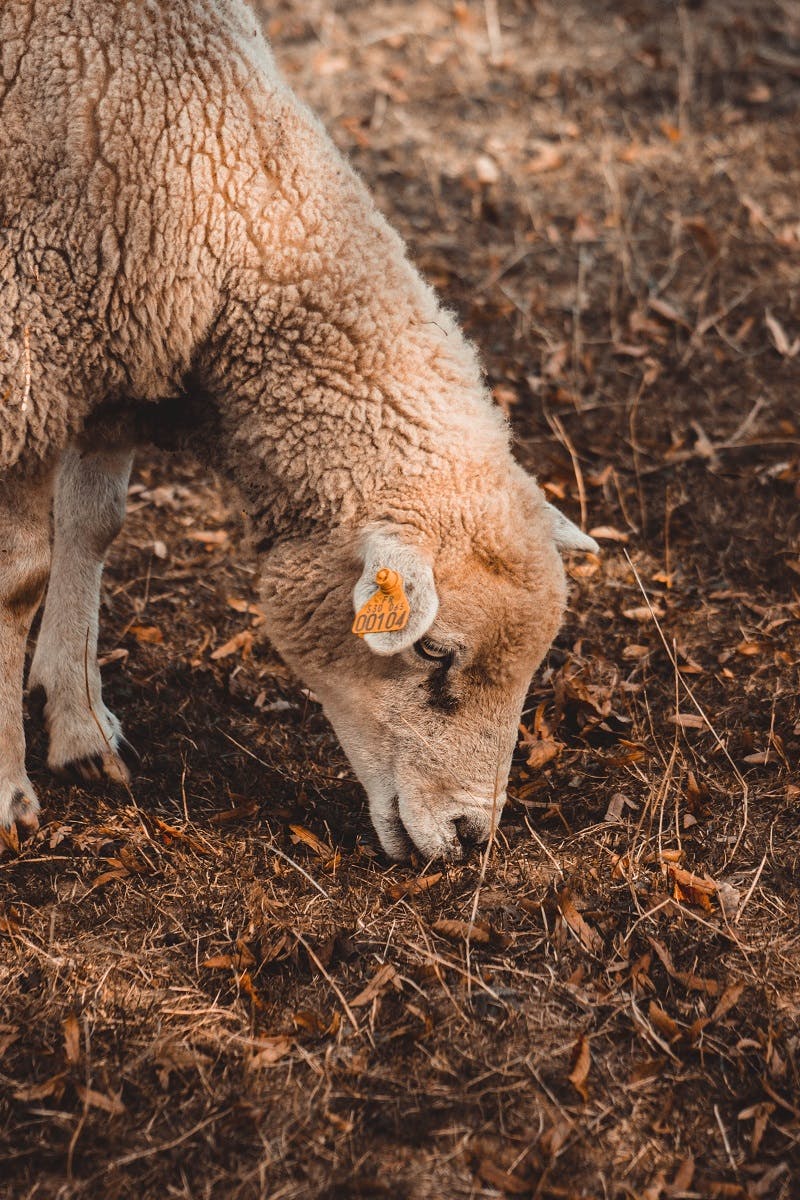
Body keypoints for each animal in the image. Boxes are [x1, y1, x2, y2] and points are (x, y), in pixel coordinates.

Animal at [0, 0, 594, 864]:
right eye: (431, 650)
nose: (470, 836)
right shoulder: (25, 361)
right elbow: (18, 581)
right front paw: (9, 791)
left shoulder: (113, 355)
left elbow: (92, 528)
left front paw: (80, 728)